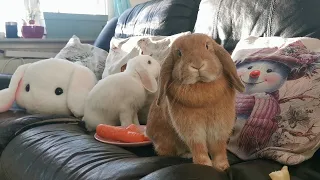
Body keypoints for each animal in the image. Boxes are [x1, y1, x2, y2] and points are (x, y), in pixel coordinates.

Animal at [146, 33, 245, 170]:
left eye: (207, 46)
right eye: (179, 53)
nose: (197, 65)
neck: (200, 85)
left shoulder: (220, 127)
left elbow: (218, 147)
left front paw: (222, 166)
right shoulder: (192, 129)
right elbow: (198, 147)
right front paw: (204, 164)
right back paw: (186, 154)